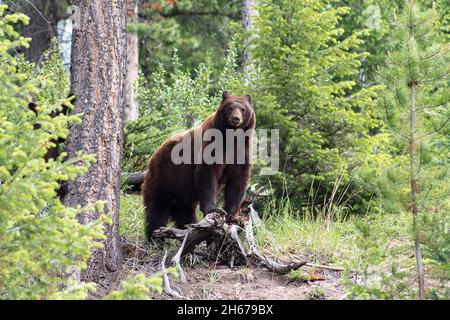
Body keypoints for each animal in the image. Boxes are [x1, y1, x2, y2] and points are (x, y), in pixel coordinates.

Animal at [144, 91, 256, 239]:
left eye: (243, 109)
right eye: (230, 107)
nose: (236, 119)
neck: (231, 138)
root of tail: (152, 156)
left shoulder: (242, 149)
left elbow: (238, 179)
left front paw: (233, 215)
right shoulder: (211, 145)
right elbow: (207, 173)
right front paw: (213, 209)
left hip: (182, 192)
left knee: (185, 212)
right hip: (164, 177)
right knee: (157, 208)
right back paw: (156, 236)